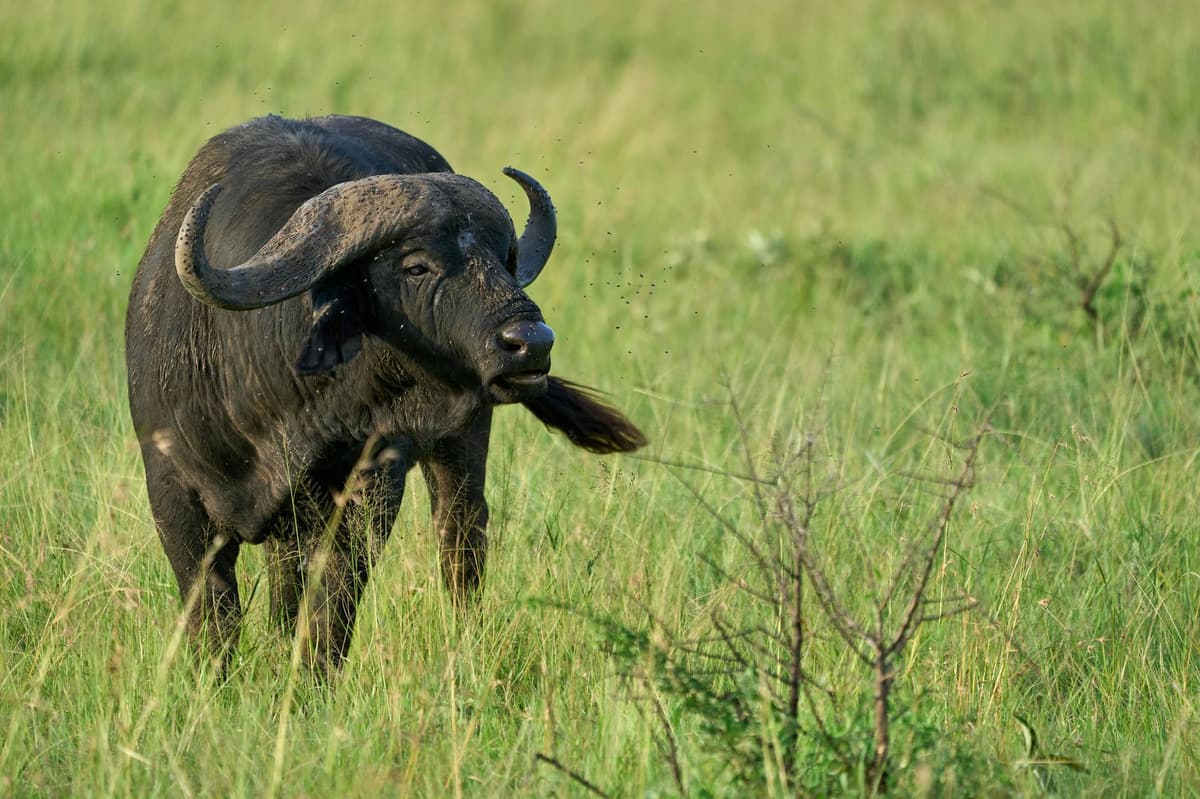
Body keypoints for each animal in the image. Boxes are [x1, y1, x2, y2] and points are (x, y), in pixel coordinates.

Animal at [125, 114, 644, 675]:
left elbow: (331, 607)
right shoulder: (172, 493)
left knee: (460, 541)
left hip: (462, 442)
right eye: (416, 267)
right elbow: (214, 616)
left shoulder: (366, 490)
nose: (532, 343)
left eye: (502, 260)